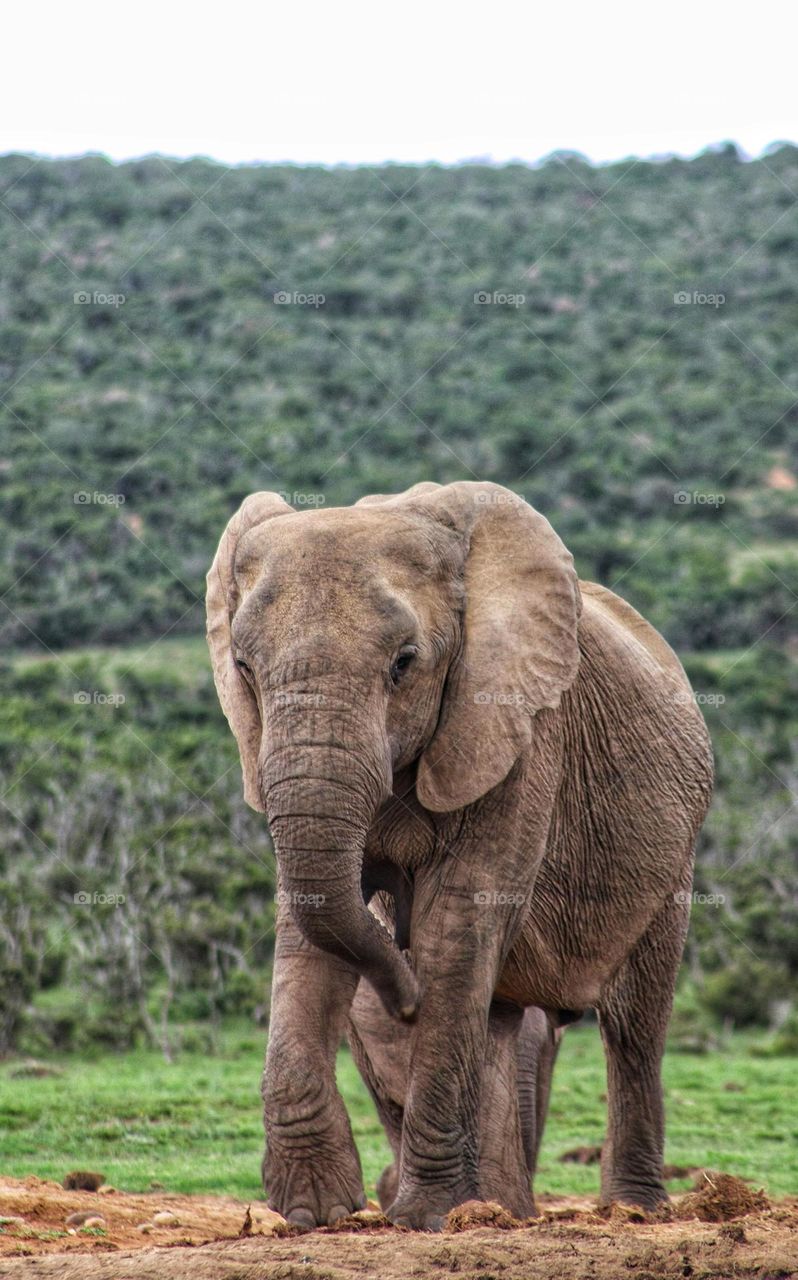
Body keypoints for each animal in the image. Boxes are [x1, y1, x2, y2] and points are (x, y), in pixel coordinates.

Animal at [206, 480, 713, 1231]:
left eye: (404, 664)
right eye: (243, 668)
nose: (402, 993)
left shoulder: (516, 728)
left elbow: (456, 922)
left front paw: (423, 1217)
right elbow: (310, 921)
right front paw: (316, 1214)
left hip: (672, 850)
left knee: (633, 1025)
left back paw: (632, 1212)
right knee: (499, 1018)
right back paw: (500, 1210)